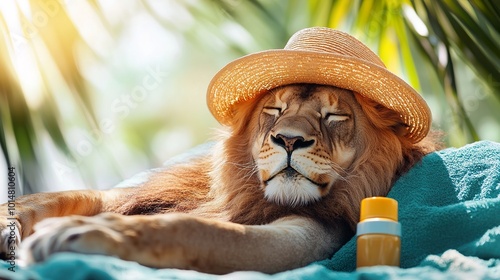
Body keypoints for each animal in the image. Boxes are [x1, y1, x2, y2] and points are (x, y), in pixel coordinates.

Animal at [0, 27, 440, 274]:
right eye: (274, 110)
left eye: (333, 115)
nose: (289, 140)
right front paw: (15, 226)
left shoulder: (307, 237)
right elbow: (56, 198)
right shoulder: (121, 194)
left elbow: (198, 229)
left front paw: (81, 233)